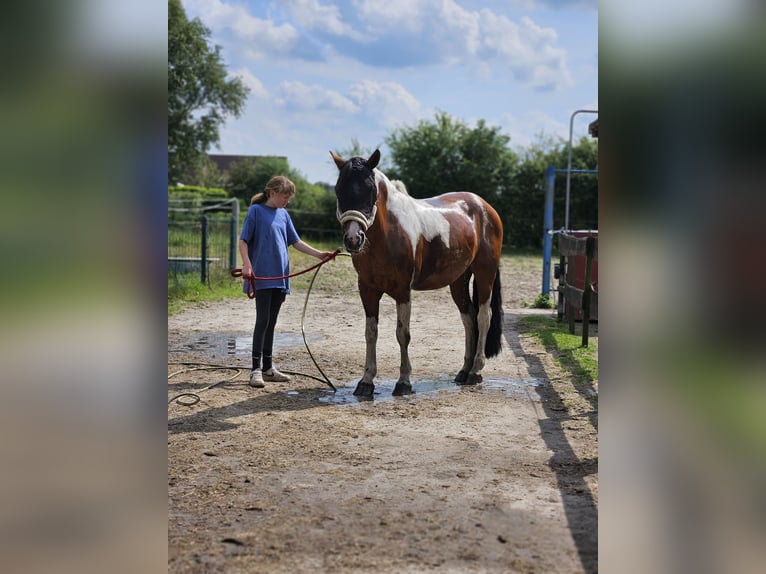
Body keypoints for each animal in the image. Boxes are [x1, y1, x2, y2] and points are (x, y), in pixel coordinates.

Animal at [328, 151, 504, 398]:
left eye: (371, 190)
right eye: (339, 189)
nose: (354, 239)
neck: (387, 234)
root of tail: (485, 207)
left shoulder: (403, 291)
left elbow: (403, 334)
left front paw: (404, 382)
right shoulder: (368, 290)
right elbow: (371, 333)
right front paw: (366, 381)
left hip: (484, 273)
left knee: (483, 317)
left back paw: (476, 371)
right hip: (458, 280)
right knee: (468, 318)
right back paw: (464, 370)